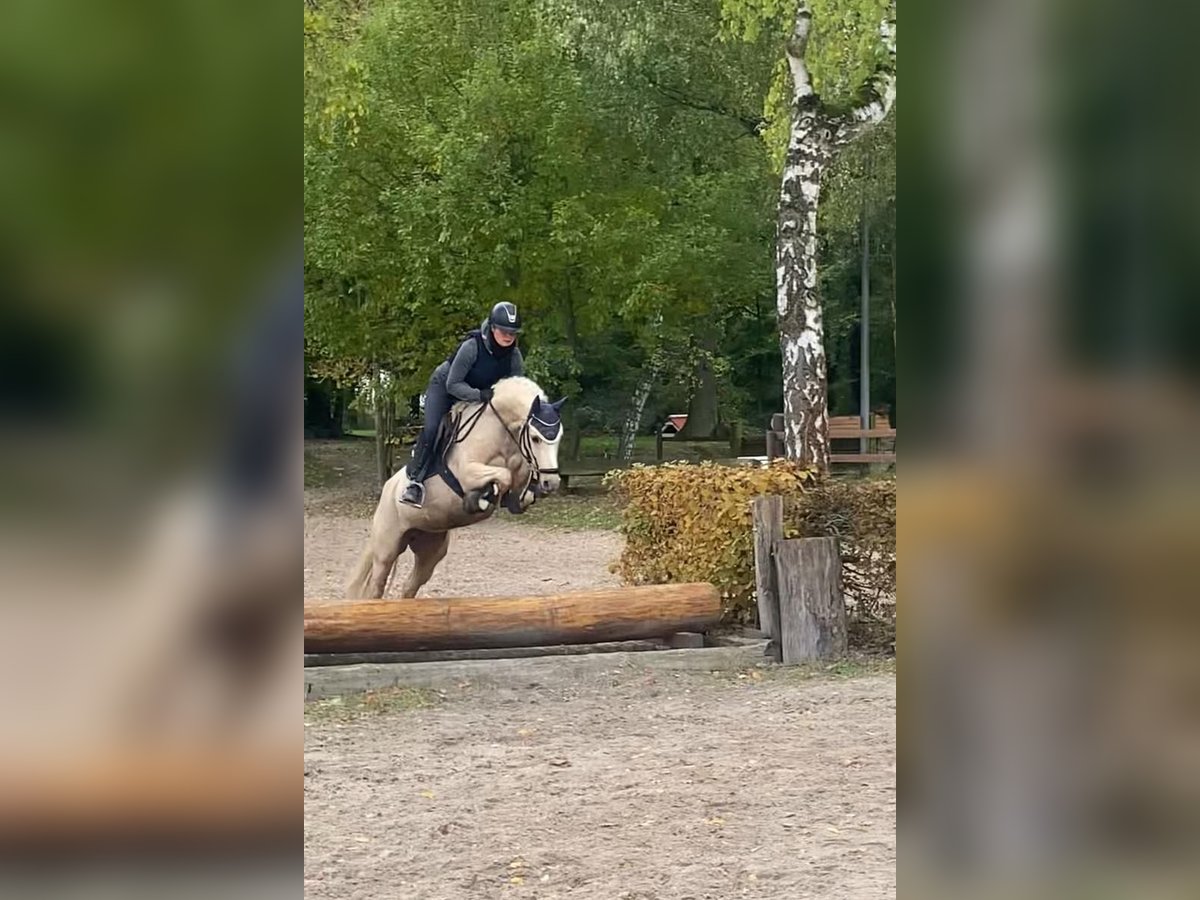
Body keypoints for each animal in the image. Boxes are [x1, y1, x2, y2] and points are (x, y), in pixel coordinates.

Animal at [345, 379, 564, 600]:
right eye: (535, 438)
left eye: (559, 437)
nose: (551, 483)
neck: (501, 434)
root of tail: (388, 488)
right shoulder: (468, 472)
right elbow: (503, 476)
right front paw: (480, 499)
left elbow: (519, 488)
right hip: (387, 548)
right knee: (376, 586)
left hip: (431, 549)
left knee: (410, 586)